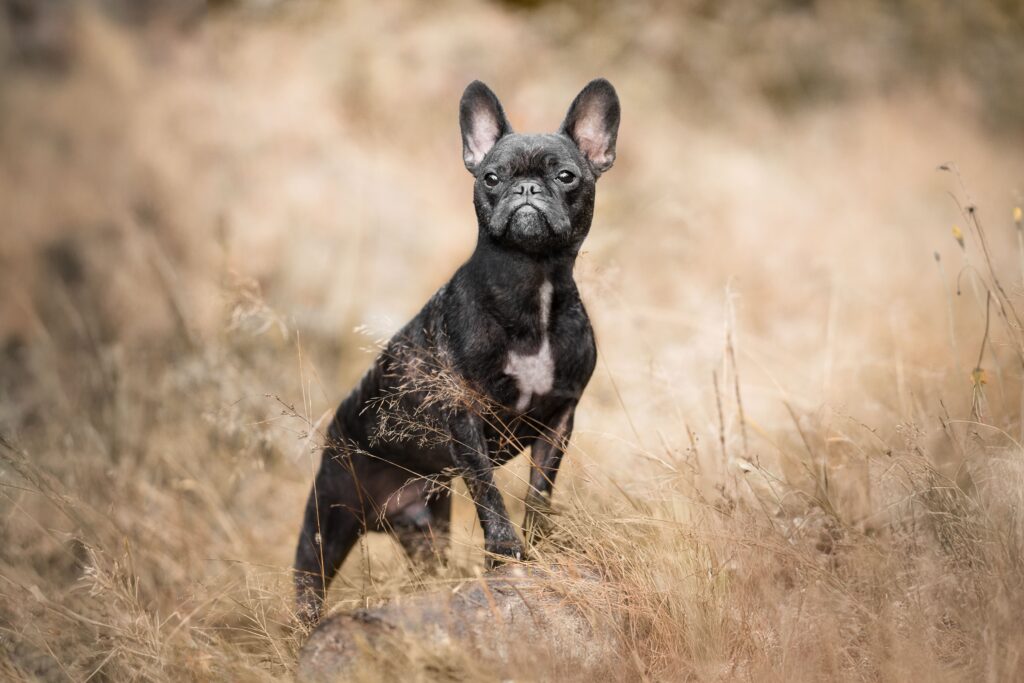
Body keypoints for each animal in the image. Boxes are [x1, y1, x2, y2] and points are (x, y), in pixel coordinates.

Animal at [292, 77, 618, 622]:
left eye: (567, 176)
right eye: (491, 177)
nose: (526, 189)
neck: (530, 286)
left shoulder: (558, 420)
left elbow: (538, 493)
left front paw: (538, 544)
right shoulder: (465, 416)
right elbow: (488, 492)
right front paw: (506, 552)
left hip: (425, 525)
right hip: (328, 520)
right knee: (308, 583)